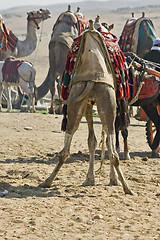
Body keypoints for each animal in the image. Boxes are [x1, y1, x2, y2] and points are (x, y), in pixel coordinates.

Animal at [39, 19, 133, 194]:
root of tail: (92, 77)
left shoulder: (88, 103)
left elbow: (93, 141)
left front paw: (92, 179)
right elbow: (102, 141)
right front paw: (107, 179)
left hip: (78, 99)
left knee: (66, 148)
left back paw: (47, 182)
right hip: (106, 100)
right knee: (112, 151)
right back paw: (127, 187)